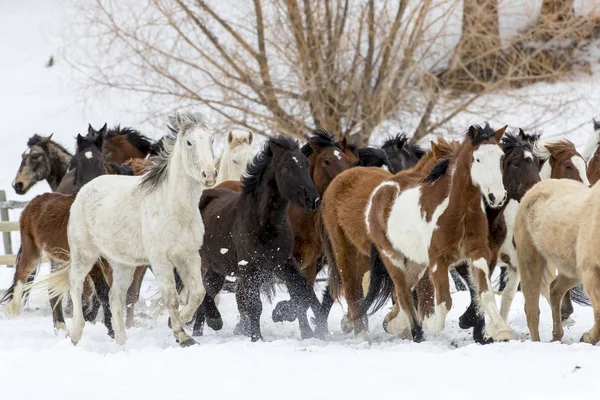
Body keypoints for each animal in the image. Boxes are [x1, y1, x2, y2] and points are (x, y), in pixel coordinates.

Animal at [51, 111, 216, 346]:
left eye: (211, 141)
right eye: (189, 142)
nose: (209, 175)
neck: (173, 206)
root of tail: (84, 189)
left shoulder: (189, 255)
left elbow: (198, 293)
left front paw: (184, 320)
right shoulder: (160, 259)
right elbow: (171, 297)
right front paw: (183, 336)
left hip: (123, 263)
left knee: (115, 297)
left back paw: (122, 342)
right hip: (85, 253)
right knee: (76, 285)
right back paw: (75, 334)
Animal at [512, 179, 600, 344]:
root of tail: (532, 190)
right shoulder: (590, 273)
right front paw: (586, 338)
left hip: (571, 271)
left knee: (554, 290)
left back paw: (556, 337)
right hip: (530, 260)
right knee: (531, 309)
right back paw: (538, 342)